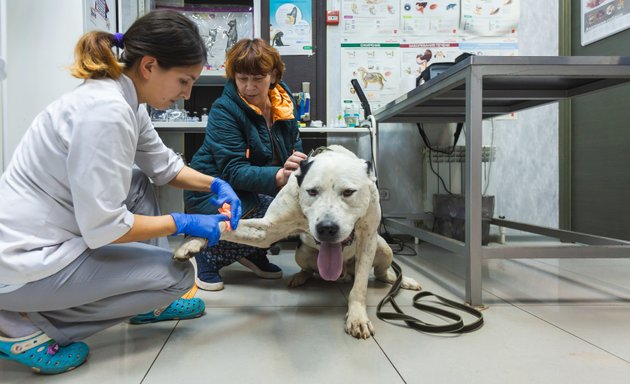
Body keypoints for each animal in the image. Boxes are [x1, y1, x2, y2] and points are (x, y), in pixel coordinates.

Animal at [173, 145, 422, 340]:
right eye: (311, 191)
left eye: (349, 192)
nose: (327, 228)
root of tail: (342, 274)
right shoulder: (267, 230)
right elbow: (226, 225)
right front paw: (193, 240)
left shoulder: (368, 236)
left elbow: (360, 286)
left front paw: (357, 317)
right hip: (301, 253)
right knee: (309, 269)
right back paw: (300, 277)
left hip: (383, 248)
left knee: (380, 273)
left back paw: (401, 280)